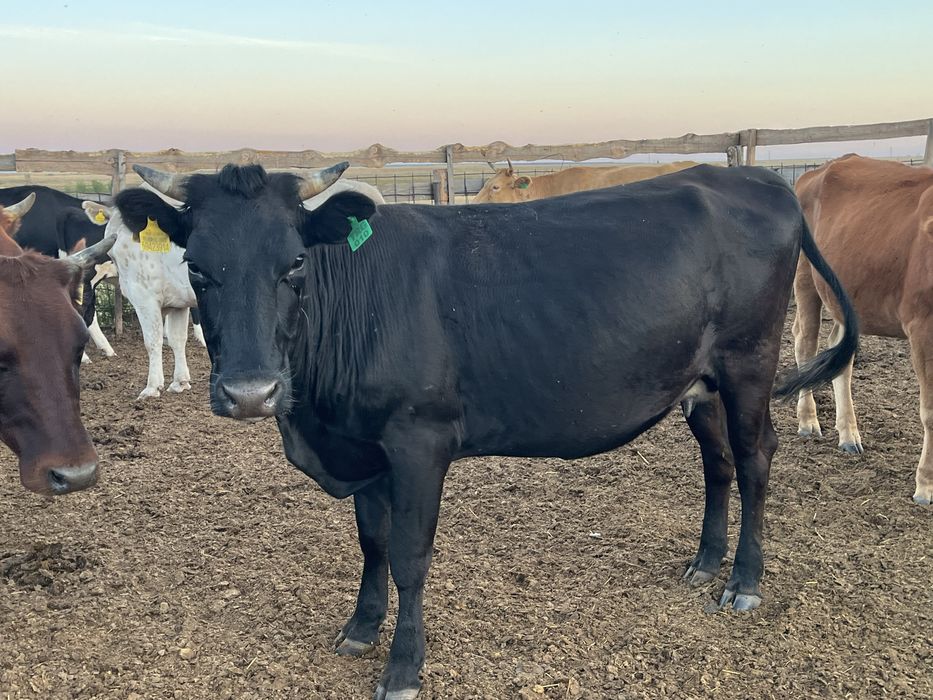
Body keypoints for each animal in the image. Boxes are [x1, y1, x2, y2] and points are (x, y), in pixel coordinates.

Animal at [84, 177, 385, 400]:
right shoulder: (177, 303)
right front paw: (179, 382)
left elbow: (153, 341)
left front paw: (151, 387)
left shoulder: (144, 297)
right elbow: (177, 340)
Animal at [116, 161, 857, 699]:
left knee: (755, 457)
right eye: (197, 265)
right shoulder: (365, 443)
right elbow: (371, 541)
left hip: (748, 362)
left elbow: (409, 554)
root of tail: (759, 179)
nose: (250, 392)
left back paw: (744, 581)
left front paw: (402, 667)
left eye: (294, 261)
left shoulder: (419, 439)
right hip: (697, 382)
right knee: (717, 461)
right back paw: (704, 562)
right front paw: (360, 627)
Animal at [791, 154, 933, 505]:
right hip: (805, 279)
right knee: (805, 343)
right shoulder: (922, 329)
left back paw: (848, 434)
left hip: (845, 299)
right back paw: (808, 420)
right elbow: (930, 411)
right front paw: (925, 485)